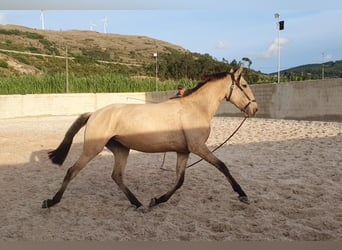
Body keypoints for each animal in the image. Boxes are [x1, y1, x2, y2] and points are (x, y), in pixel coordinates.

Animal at [42, 65, 256, 210]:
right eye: (245, 85)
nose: (254, 109)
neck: (195, 108)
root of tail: (94, 113)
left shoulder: (184, 151)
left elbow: (179, 180)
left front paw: (157, 200)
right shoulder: (198, 147)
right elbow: (222, 166)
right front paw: (242, 195)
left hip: (121, 149)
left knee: (116, 176)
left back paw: (138, 203)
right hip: (92, 149)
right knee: (72, 171)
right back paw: (51, 201)